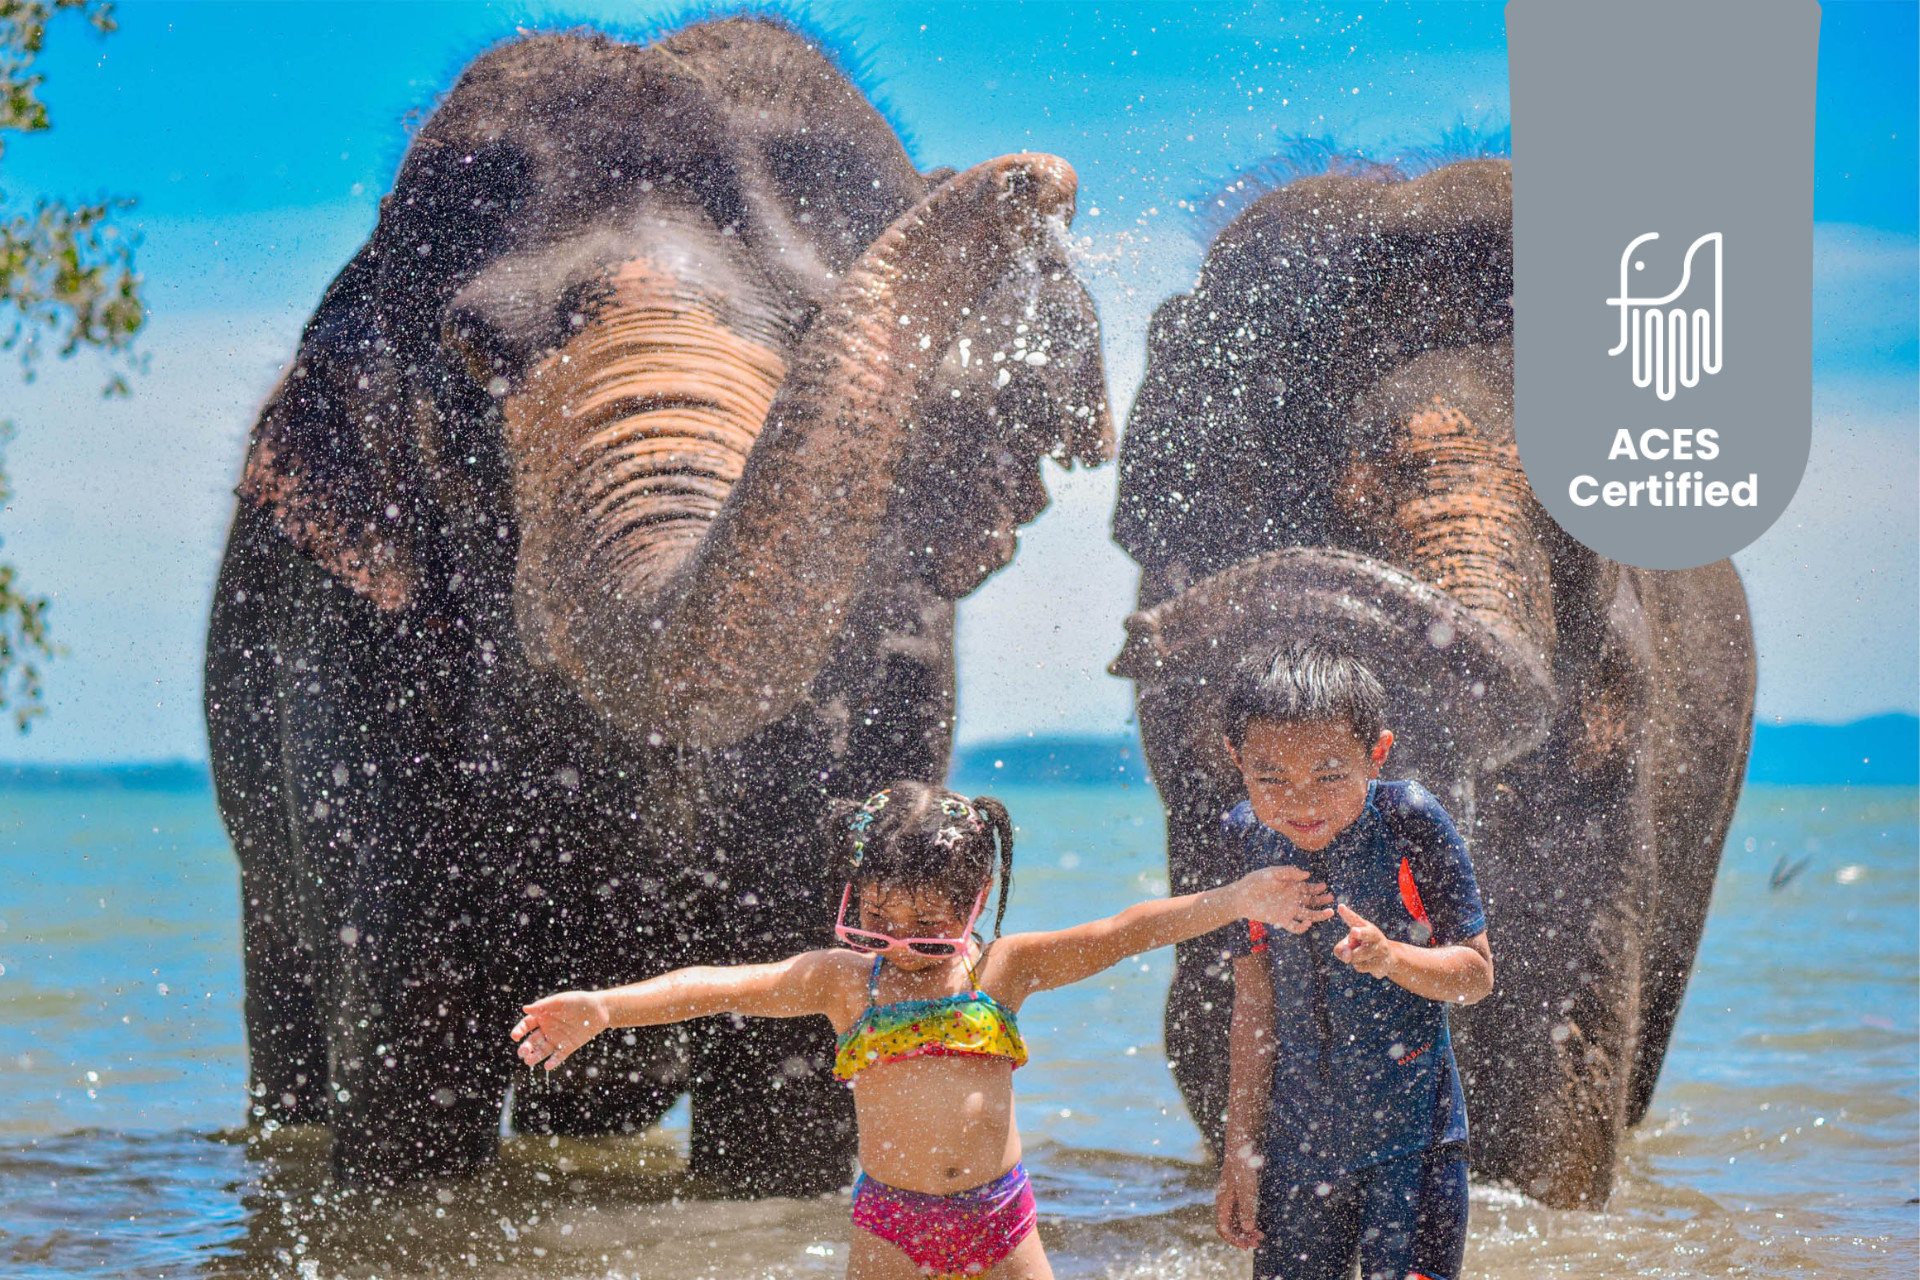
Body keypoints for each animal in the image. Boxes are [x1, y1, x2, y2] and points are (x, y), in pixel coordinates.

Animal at [204, 17, 1111, 1193]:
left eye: (810, 319)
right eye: (470, 350)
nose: (1044, 180)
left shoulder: (892, 668)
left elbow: (788, 1077)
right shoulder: (346, 661)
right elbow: (412, 1055)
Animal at [1110, 160, 1754, 1208]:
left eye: (1579, 514)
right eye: (1346, 496)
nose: (1143, 634)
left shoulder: (1622, 697)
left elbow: (1557, 1016)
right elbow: (1221, 989)